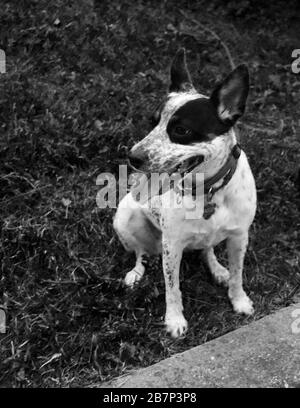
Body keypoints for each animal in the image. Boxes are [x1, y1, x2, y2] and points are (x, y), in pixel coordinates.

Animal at [113, 48, 256, 338]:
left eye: (181, 130)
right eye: (152, 122)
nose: (132, 157)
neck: (208, 190)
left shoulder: (239, 236)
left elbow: (238, 275)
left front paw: (239, 300)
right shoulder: (173, 246)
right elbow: (172, 288)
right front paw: (174, 320)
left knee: (207, 249)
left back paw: (217, 268)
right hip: (125, 220)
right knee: (140, 253)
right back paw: (136, 273)